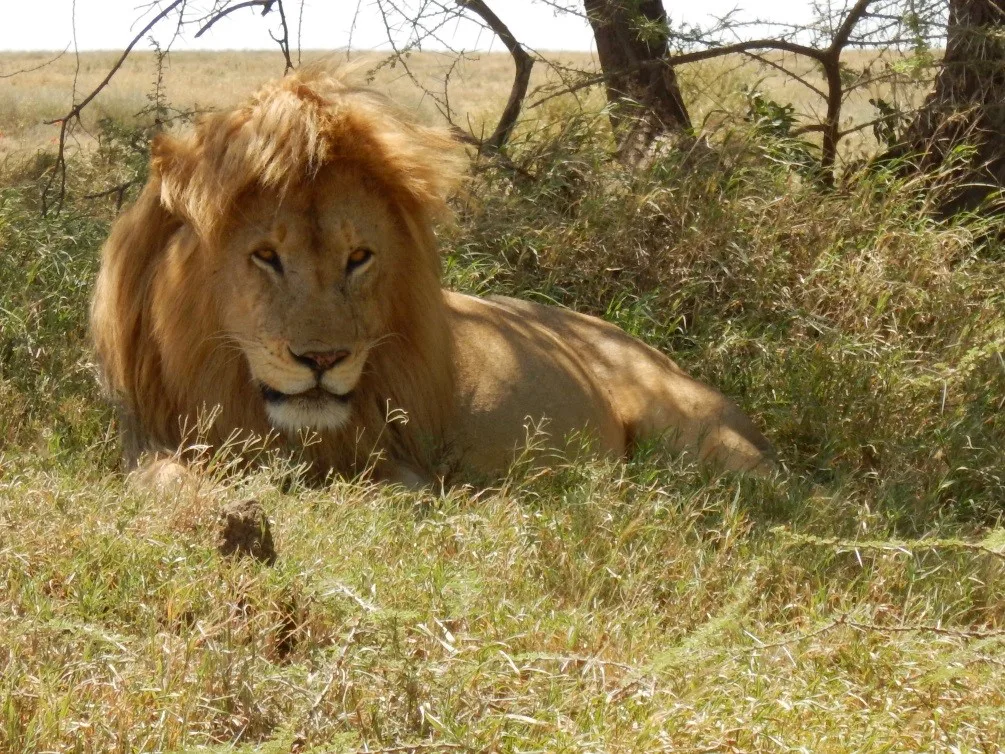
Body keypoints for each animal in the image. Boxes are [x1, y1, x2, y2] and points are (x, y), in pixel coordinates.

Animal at [91, 70, 773, 487]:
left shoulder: (395, 464)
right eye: (265, 256)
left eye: (358, 257)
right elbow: (162, 480)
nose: (323, 360)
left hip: (694, 431)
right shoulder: (147, 438)